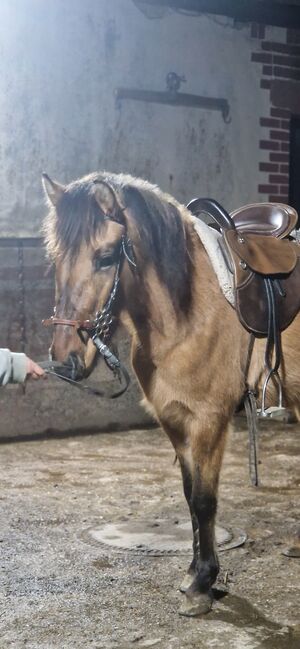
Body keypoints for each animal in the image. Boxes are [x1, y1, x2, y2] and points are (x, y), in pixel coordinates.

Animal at [41, 170, 300, 616]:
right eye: (56, 257)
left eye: (105, 257)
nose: (64, 360)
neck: (187, 311)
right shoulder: (174, 420)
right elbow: (189, 496)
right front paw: (194, 573)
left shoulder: (210, 421)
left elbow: (205, 500)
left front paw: (202, 585)